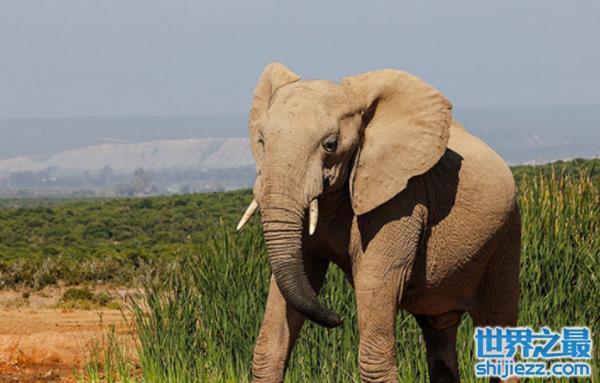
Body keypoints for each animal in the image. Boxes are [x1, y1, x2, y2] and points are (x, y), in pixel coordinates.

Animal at [236, 63, 520, 383]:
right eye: (261, 140)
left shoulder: (401, 199)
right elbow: (285, 309)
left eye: (330, 145)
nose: (337, 319)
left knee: (498, 325)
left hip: (506, 233)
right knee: (439, 335)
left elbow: (375, 285)